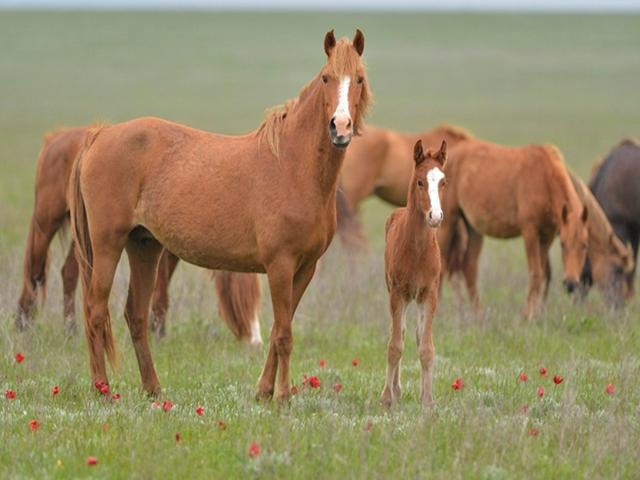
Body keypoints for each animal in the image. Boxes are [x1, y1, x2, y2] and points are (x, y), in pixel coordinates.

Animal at [16, 127, 262, 345]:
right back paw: (23, 326)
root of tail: (56, 138)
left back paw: (70, 330)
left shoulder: (167, 252)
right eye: (241, 302)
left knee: (68, 272)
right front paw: (159, 335)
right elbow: (161, 295)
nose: (256, 341)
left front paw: (156, 330)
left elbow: (160, 294)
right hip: (46, 224)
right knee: (35, 272)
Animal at [70, 30, 371, 400]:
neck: (293, 166)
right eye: (327, 77)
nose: (340, 128)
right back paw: (101, 389)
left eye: (359, 78)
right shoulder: (280, 265)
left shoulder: (305, 269)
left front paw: (263, 391)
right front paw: (282, 397)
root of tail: (100, 135)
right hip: (107, 245)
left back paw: (153, 389)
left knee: (135, 315)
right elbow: (284, 334)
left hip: (144, 247)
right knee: (95, 311)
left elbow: (277, 329)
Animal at [438, 139, 589, 319]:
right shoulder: (530, 230)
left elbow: (542, 274)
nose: (571, 284)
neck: (545, 175)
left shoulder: (548, 235)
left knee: (469, 268)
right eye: (563, 244)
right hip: (447, 224)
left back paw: (478, 315)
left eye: (584, 245)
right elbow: (535, 273)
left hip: (474, 229)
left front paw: (534, 314)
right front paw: (527, 315)